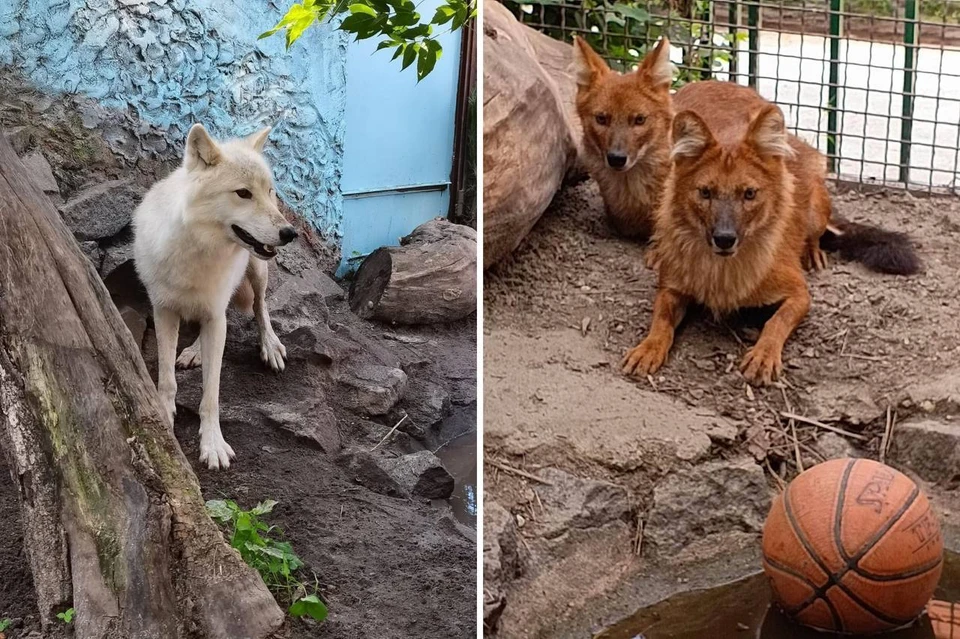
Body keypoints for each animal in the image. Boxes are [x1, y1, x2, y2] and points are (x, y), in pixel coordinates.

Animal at [132, 125, 296, 472]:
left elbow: (211, 394)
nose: (290, 233)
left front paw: (212, 445)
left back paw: (270, 345)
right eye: (243, 193)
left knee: (260, 307)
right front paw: (165, 416)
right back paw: (194, 351)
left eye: (270, 191)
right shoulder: (163, 311)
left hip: (257, 272)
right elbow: (166, 379)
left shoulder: (215, 315)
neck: (199, 250)